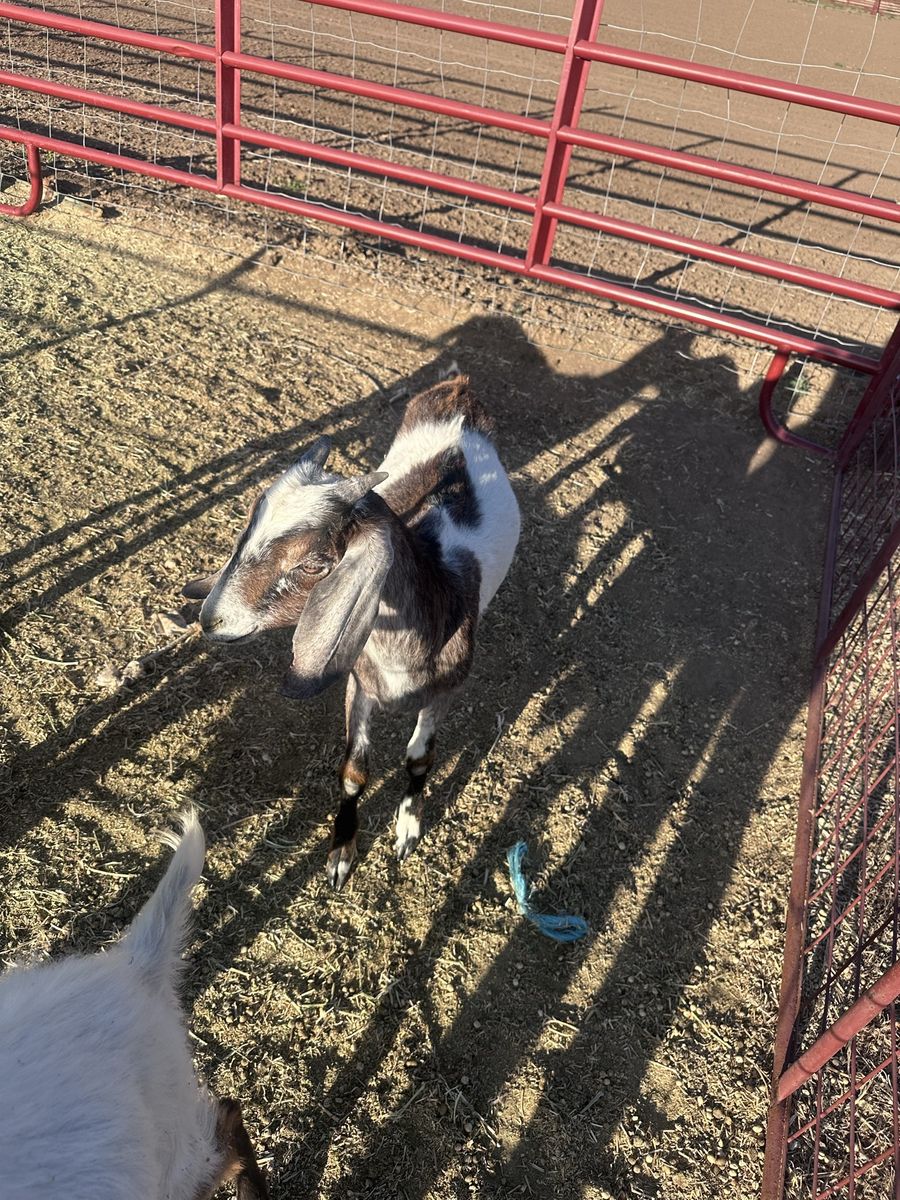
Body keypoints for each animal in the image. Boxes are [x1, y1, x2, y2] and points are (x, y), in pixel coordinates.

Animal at [184, 373, 520, 888]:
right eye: (248, 529)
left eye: (313, 563)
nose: (211, 618)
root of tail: (458, 388)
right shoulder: (359, 683)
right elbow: (354, 770)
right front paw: (341, 854)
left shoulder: (447, 689)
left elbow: (419, 756)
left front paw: (406, 830)